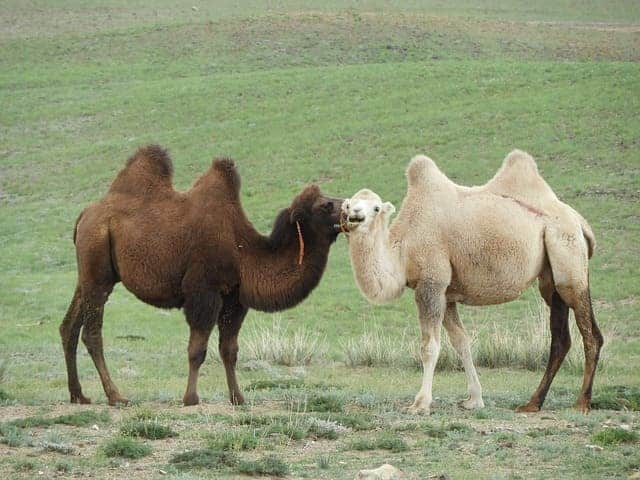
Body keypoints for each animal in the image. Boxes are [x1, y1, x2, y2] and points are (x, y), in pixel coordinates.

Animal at [60, 145, 344, 406]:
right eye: (326, 205)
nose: (351, 208)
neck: (242, 249)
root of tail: (84, 215)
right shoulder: (204, 290)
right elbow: (197, 350)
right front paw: (191, 398)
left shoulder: (234, 298)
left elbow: (229, 350)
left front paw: (237, 398)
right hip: (98, 267)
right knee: (92, 333)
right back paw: (116, 396)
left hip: (88, 274)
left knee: (69, 327)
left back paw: (78, 395)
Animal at [342, 150, 602, 414]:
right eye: (350, 204)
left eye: (375, 208)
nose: (355, 216)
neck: (403, 247)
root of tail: (579, 222)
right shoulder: (446, 294)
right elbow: (461, 342)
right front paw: (474, 399)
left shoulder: (431, 283)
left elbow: (430, 347)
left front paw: (420, 404)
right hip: (550, 278)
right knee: (560, 339)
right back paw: (532, 403)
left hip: (569, 259)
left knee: (590, 334)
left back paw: (581, 403)